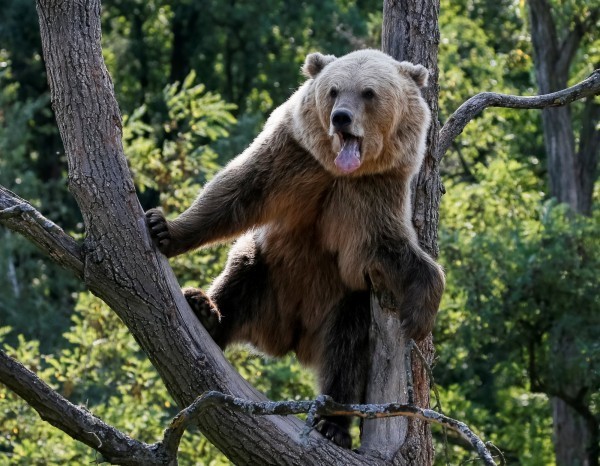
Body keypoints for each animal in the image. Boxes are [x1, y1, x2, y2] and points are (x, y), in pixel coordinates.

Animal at [146, 50, 446, 448]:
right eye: (333, 90)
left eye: (368, 93)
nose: (341, 117)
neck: (340, 172)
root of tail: (291, 337)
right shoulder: (293, 159)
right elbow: (235, 192)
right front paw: (164, 227)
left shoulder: (372, 194)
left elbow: (390, 249)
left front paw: (420, 313)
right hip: (267, 279)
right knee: (241, 273)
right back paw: (205, 310)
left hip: (341, 303)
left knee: (348, 347)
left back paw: (333, 423)